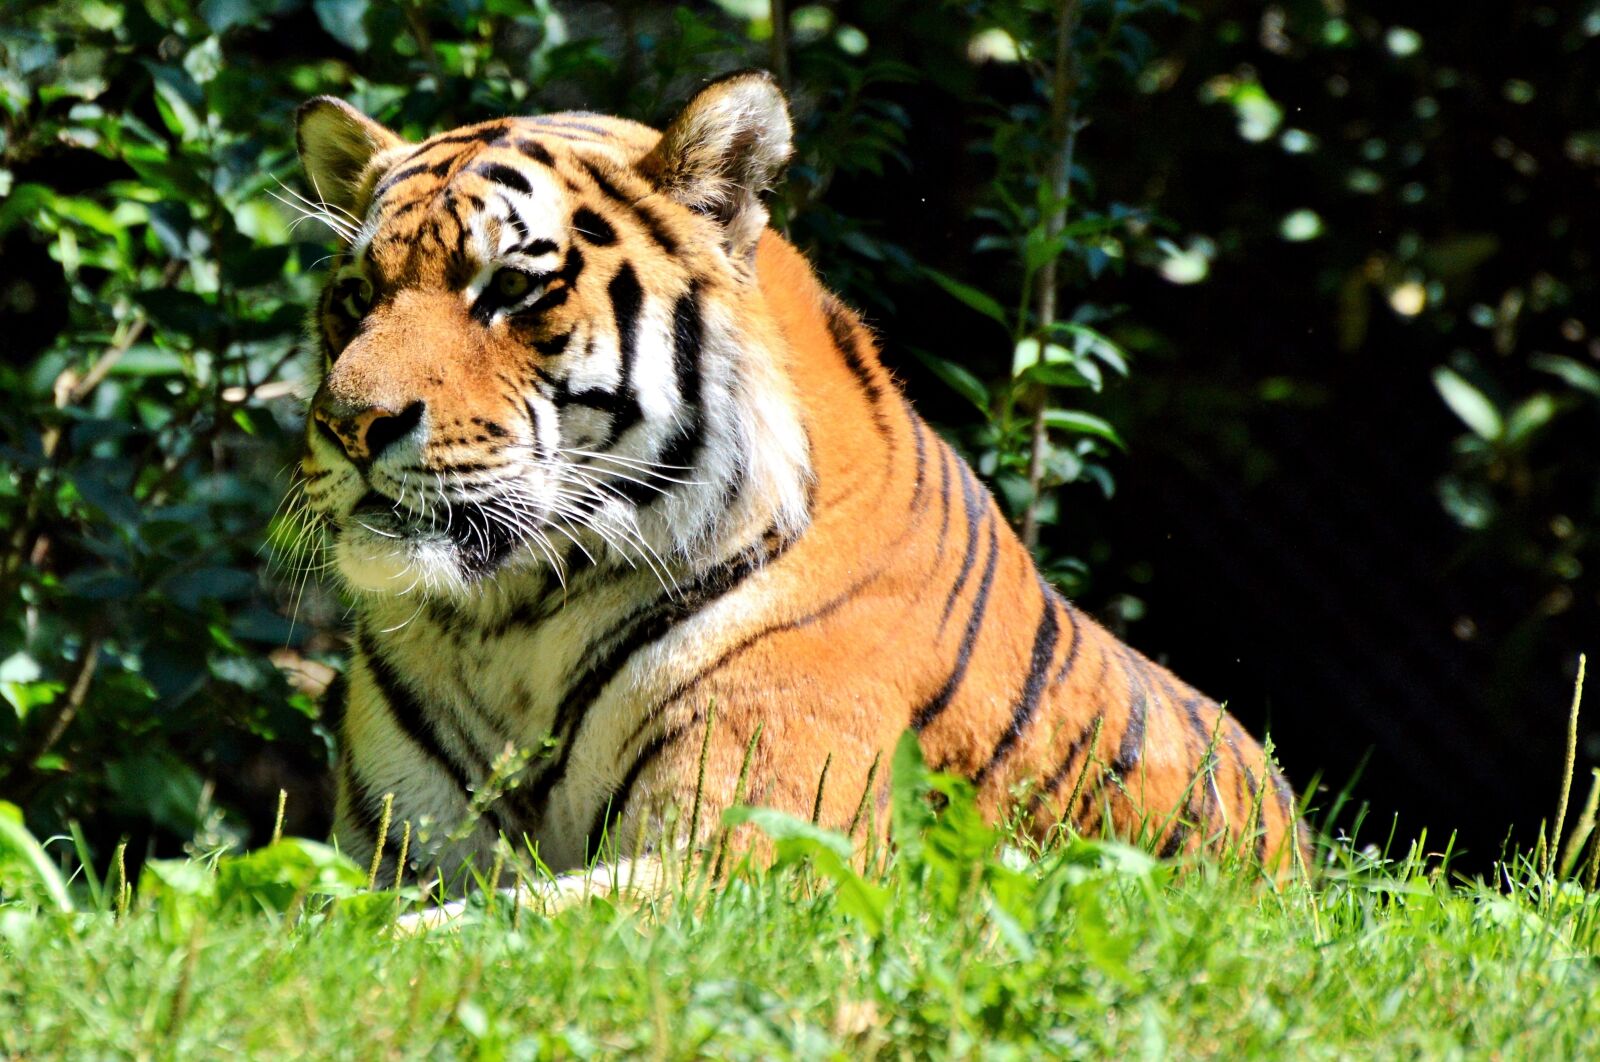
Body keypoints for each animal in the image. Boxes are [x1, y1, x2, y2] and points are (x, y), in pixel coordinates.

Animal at [288, 70, 1303, 887]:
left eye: (509, 288)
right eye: (357, 296)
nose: (348, 424)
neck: (510, 631)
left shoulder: (756, 857)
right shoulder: (391, 856)